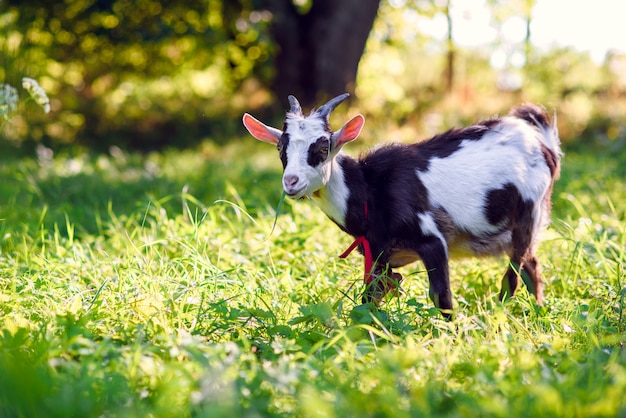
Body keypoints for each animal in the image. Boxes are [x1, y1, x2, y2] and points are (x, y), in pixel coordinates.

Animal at [241, 94, 560, 316]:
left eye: (322, 147)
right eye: (281, 148)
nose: (291, 182)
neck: (370, 190)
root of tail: (542, 140)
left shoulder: (432, 240)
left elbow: (441, 297)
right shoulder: (378, 255)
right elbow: (369, 298)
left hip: (528, 214)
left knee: (513, 276)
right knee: (532, 267)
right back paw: (539, 312)